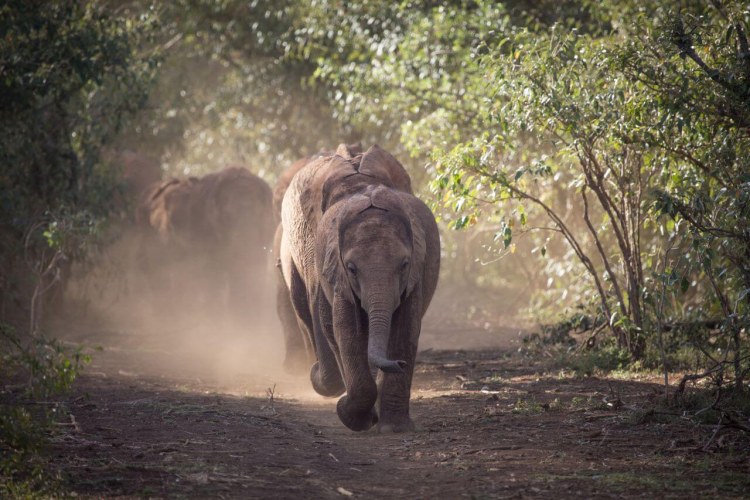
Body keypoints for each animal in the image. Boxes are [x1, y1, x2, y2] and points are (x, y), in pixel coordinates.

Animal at [276, 145, 440, 434]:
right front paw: (352, 415)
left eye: (404, 264)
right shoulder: (325, 259)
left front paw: (393, 428)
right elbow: (344, 329)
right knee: (306, 311)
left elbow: (406, 329)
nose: (399, 365)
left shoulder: (414, 273)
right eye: (352, 268)